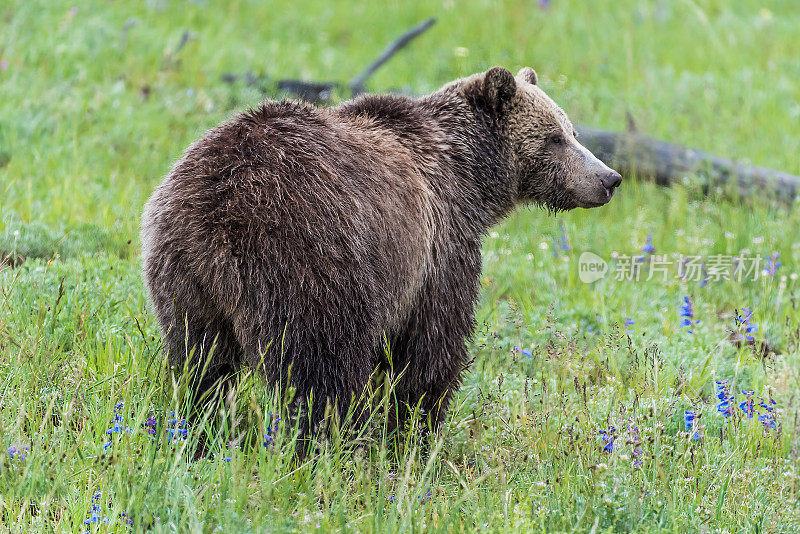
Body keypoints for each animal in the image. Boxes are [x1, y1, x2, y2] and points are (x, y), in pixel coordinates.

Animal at [141, 66, 620, 436]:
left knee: (200, 364)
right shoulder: (438, 244)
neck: (471, 178)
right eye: (555, 137)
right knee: (321, 368)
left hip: (182, 277)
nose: (609, 178)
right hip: (308, 257)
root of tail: (218, 207)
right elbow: (431, 347)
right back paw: (328, 445)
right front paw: (414, 431)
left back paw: (199, 430)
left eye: (572, 131)